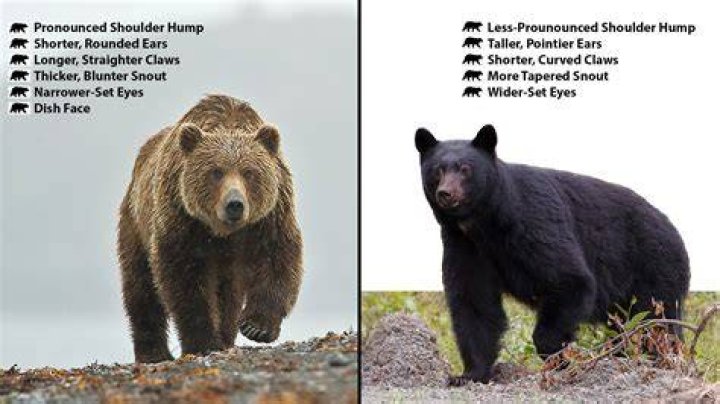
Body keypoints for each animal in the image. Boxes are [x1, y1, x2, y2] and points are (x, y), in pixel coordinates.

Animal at [117, 94, 303, 363]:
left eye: (249, 172)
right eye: (216, 172)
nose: (234, 204)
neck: (223, 232)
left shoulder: (269, 218)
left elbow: (277, 260)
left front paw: (256, 327)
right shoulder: (183, 220)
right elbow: (185, 281)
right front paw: (203, 341)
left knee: (229, 294)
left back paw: (226, 336)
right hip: (135, 223)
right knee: (140, 288)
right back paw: (153, 353)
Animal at [415, 125, 690, 386]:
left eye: (465, 169)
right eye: (437, 170)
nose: (446, 193)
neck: (485, 223)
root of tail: (674, 230)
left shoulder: (534, 222)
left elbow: (569, 279)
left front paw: (558, 361)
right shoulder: (465, 245)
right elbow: (474, 302)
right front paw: (469, 374)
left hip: (654, 267)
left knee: (656, 322)